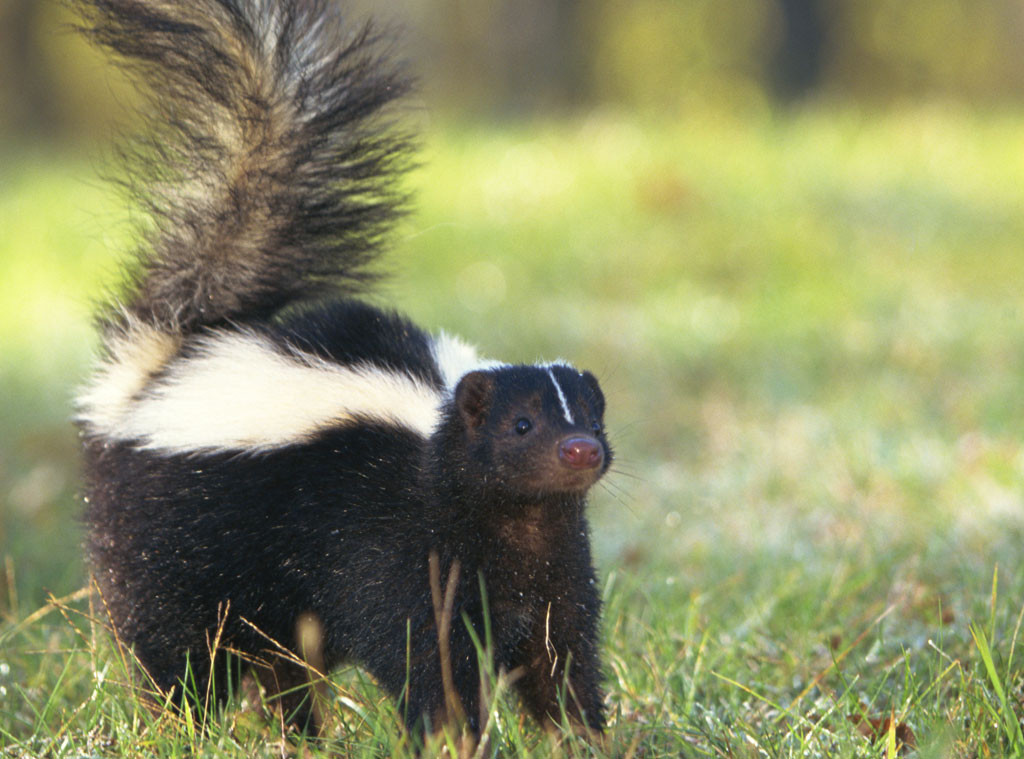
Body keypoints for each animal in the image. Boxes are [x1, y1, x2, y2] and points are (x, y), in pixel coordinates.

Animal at [75, 0, 610, 737]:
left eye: (592, 417)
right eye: (522, 426)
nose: (581, 449)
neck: (513, 521)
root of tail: (164, 361)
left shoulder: (552, 562)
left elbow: (560, 649)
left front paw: (579, 733)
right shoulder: (399, 542)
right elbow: (424, 647)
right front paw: (450, 734)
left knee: (282, 659)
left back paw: (298, 732)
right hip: (169, 538)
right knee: (180, 642)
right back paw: (181, 724)